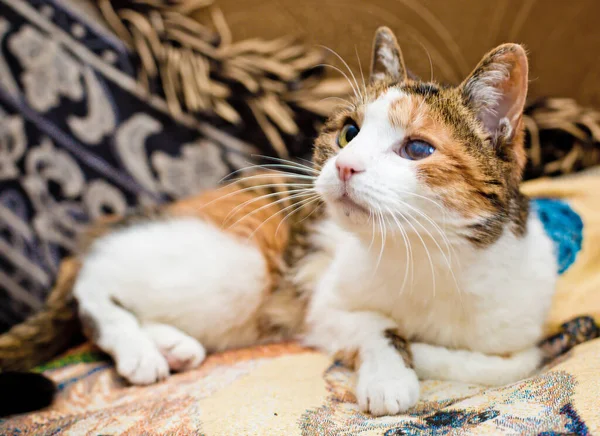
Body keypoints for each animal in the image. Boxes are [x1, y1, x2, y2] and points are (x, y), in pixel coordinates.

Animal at [34, 26, 556, 416]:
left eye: (417, 149)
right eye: (349, 132)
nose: (345, 166)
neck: (429, 258)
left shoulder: (525, 328)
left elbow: (510, 364)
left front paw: (421, 354)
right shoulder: (323, 305)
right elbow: (378, 324)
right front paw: (391, 371)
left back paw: (171, 345)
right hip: (238, 269)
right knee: (94, 283)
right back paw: (139, 350)